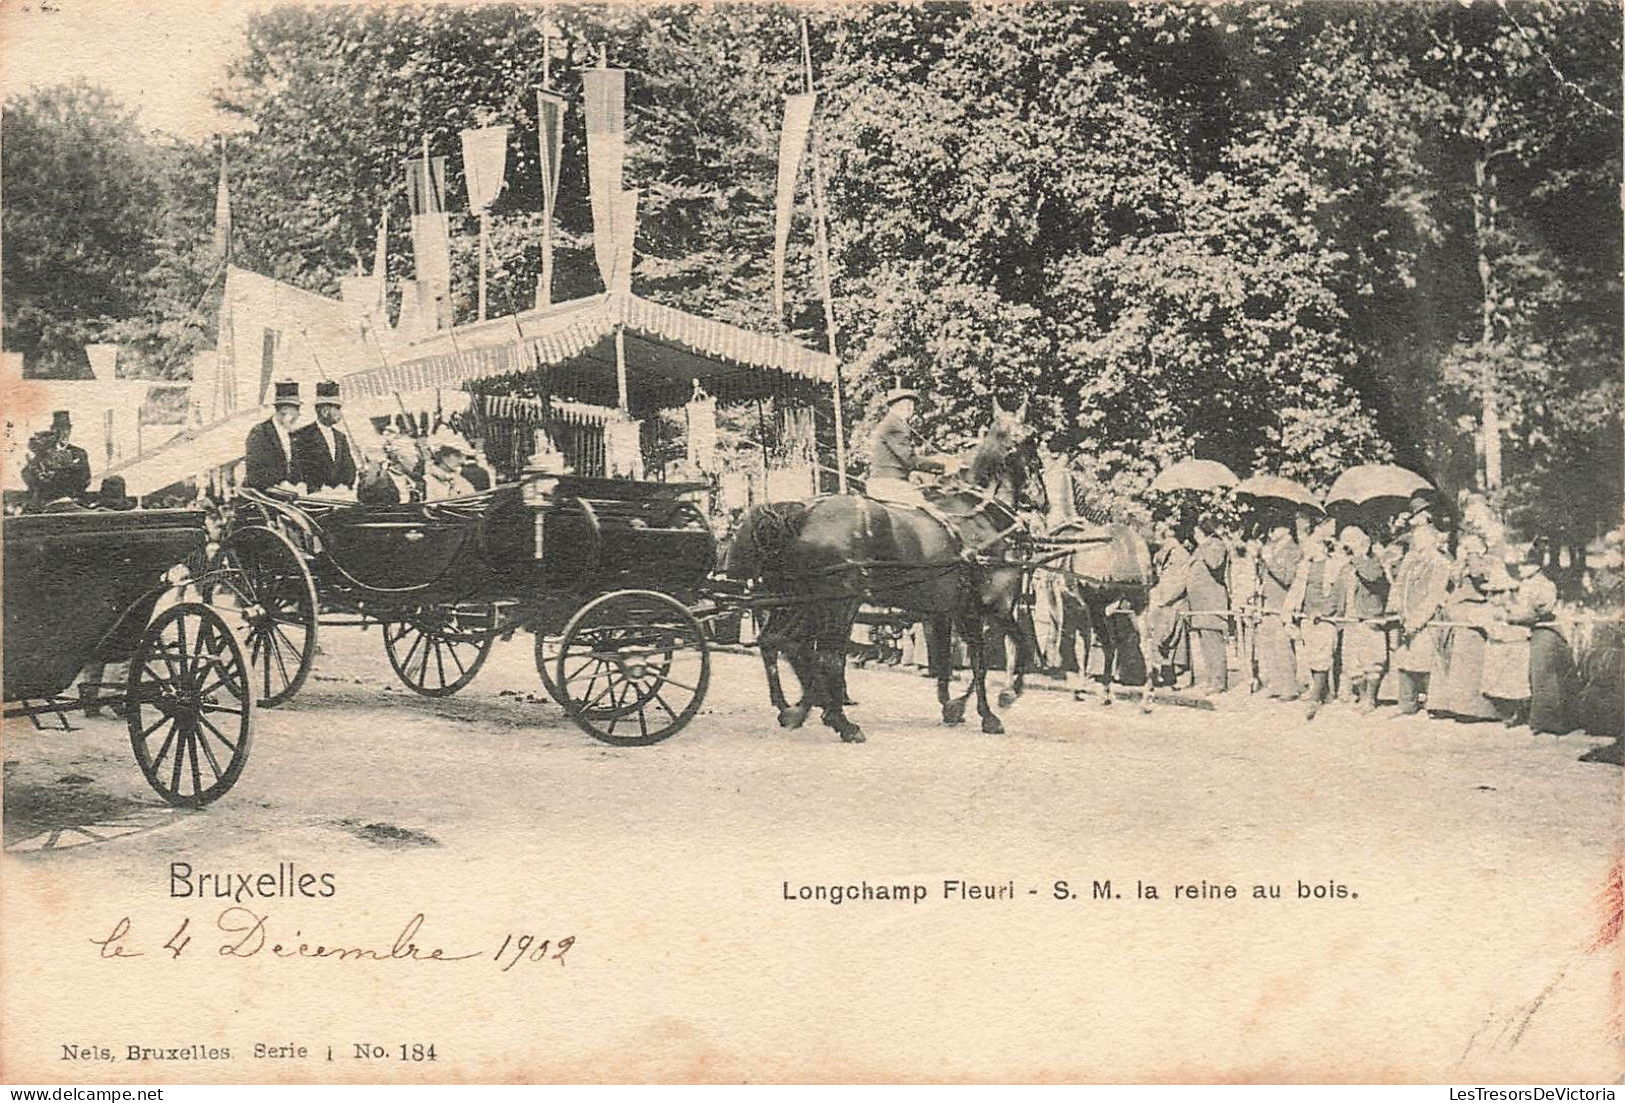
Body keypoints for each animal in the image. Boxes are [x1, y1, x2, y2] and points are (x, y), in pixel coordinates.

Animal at [724, 402, 1040, 740]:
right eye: (1029, 440)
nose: (1039, 496)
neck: (978, 513)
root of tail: (802, 512)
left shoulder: (948, 612)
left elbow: (949, 660)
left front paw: (954, 706)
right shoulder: (991, 607)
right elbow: (1006, 652)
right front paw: (996, 705)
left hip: (796, 602)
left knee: (779, 643)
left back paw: (797, 707)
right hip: (837, 605)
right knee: (823, 656)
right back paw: (838, 720)